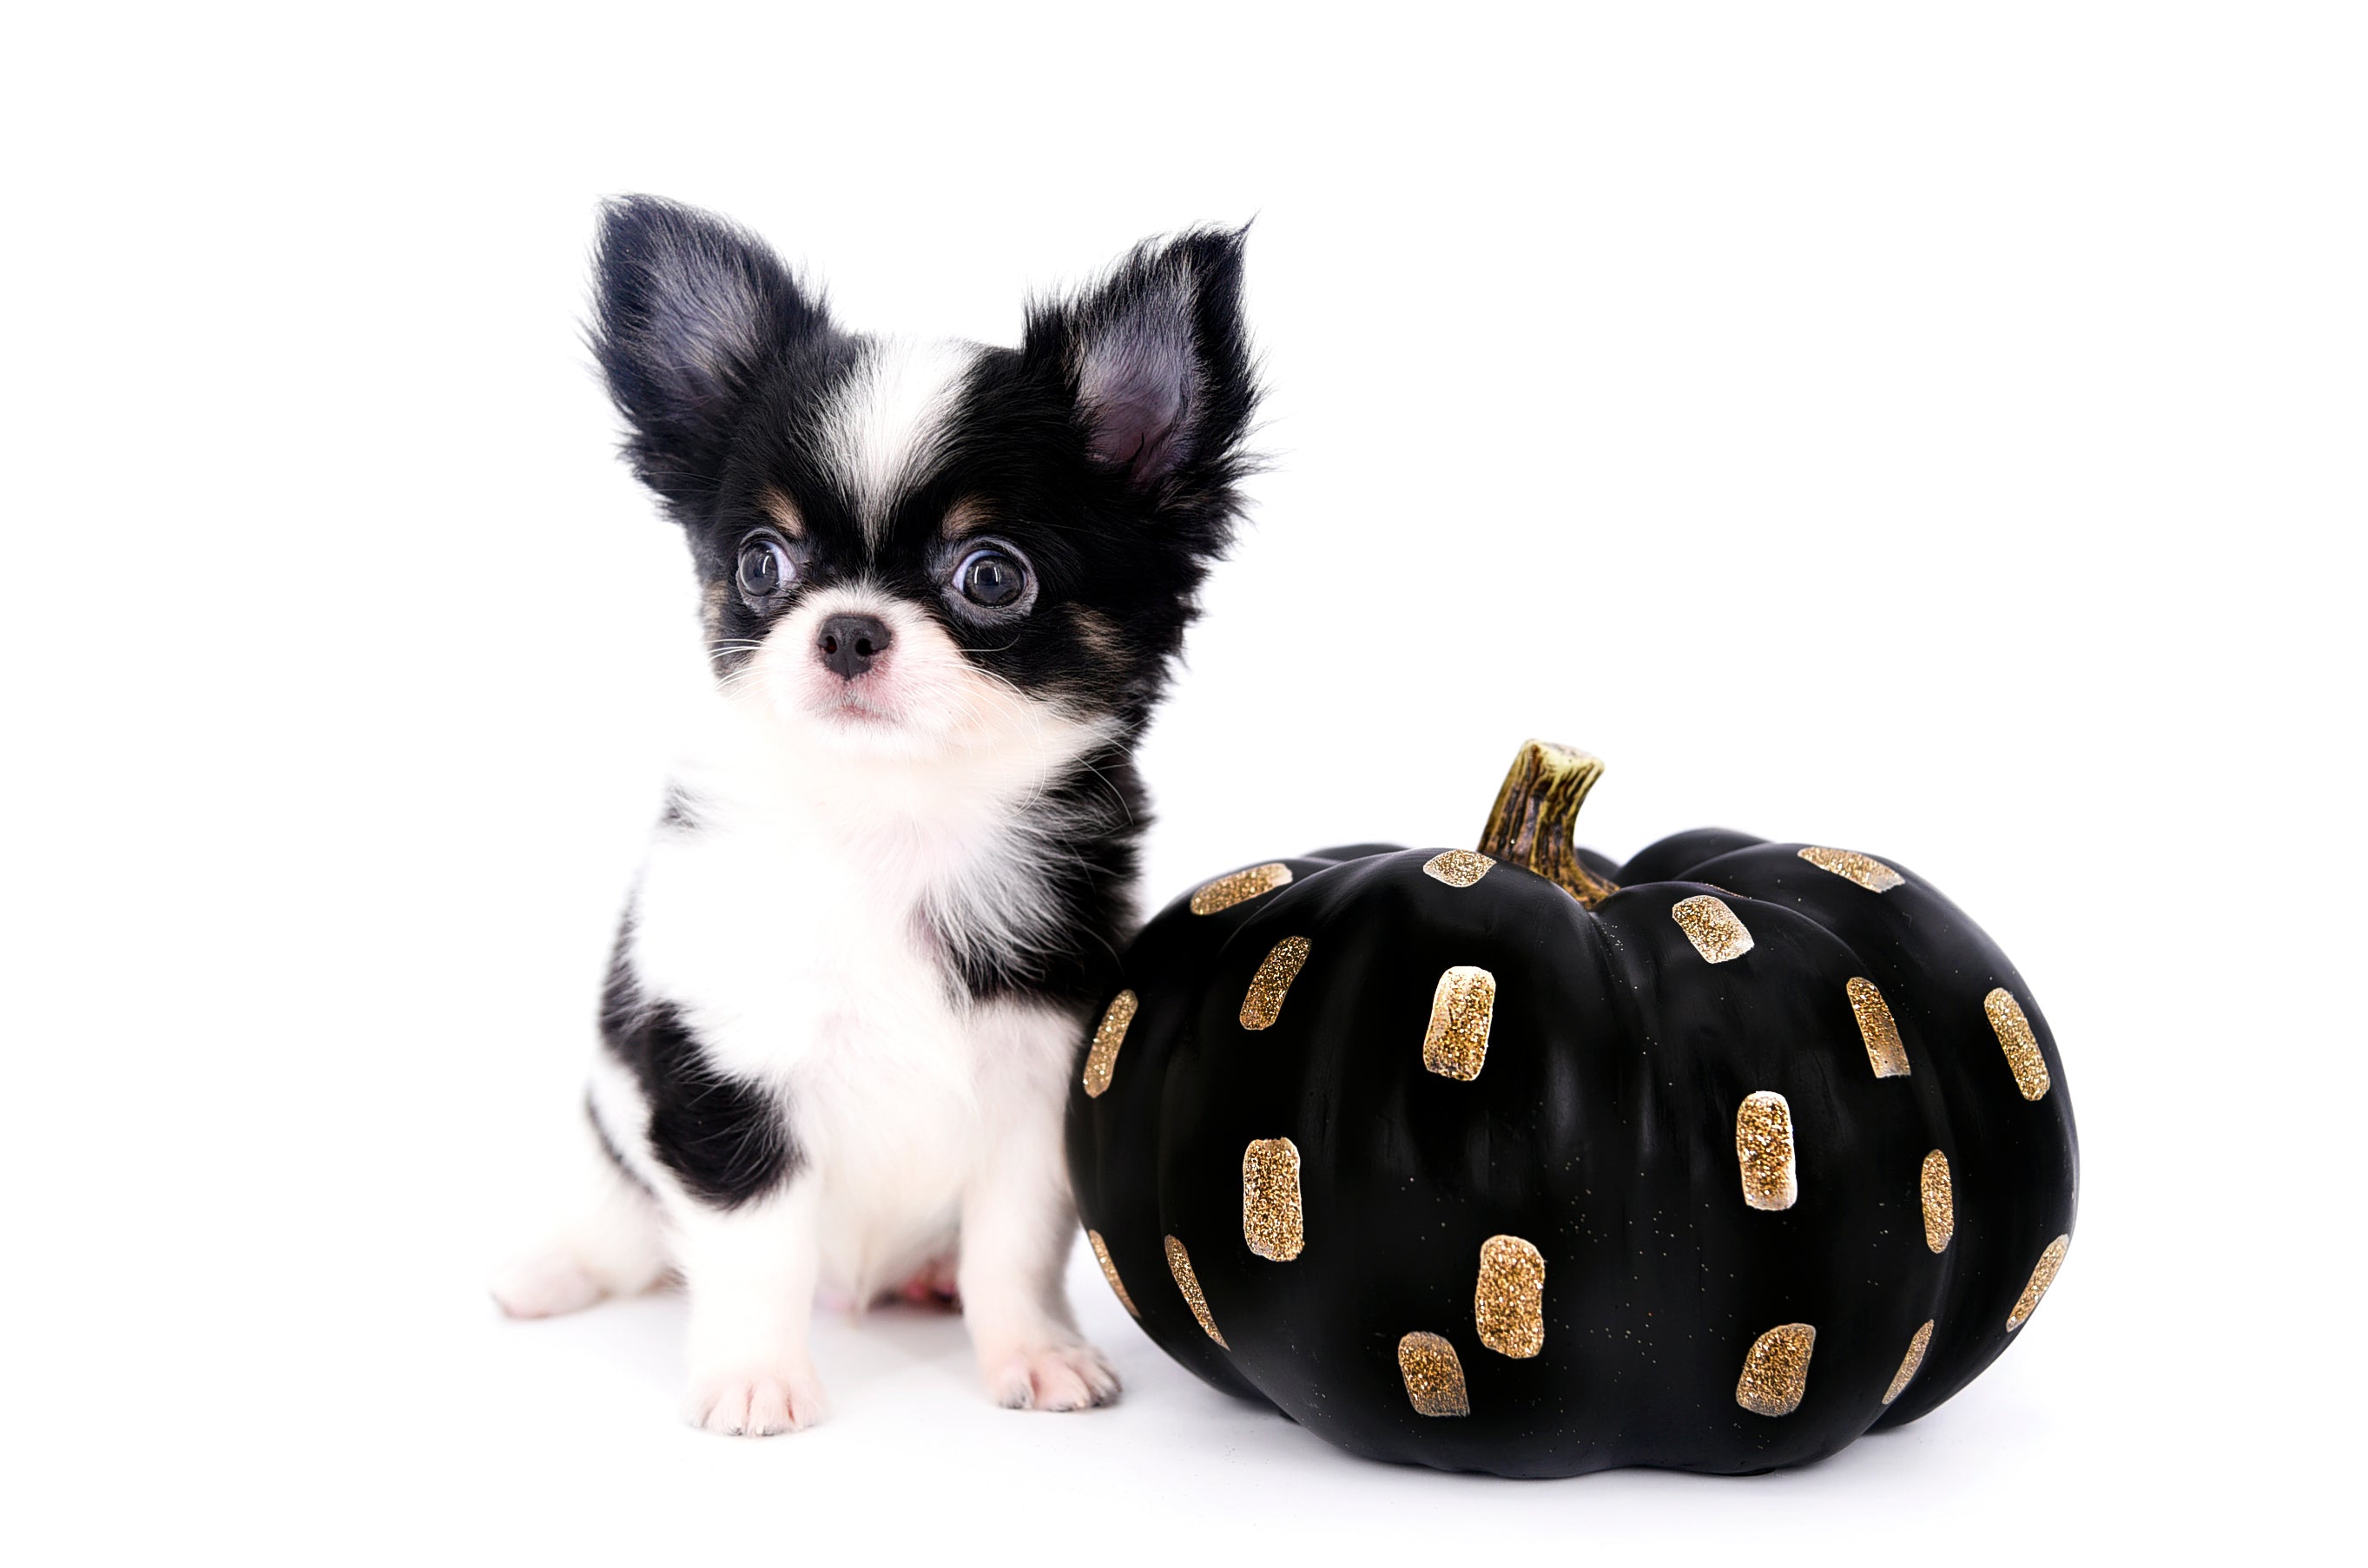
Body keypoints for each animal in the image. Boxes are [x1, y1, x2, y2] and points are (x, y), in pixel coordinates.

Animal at [490, 196, 1258, 1435]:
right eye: (763, 562)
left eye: (991, 576)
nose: (849, 627)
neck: (895, 823)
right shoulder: (723, 1073)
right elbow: (755, 1248)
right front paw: (754, 1379)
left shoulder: (1036, 1091)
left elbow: (1013, 1247)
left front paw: (1032, 1353)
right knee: (623, 1228)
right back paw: (554, 1271)